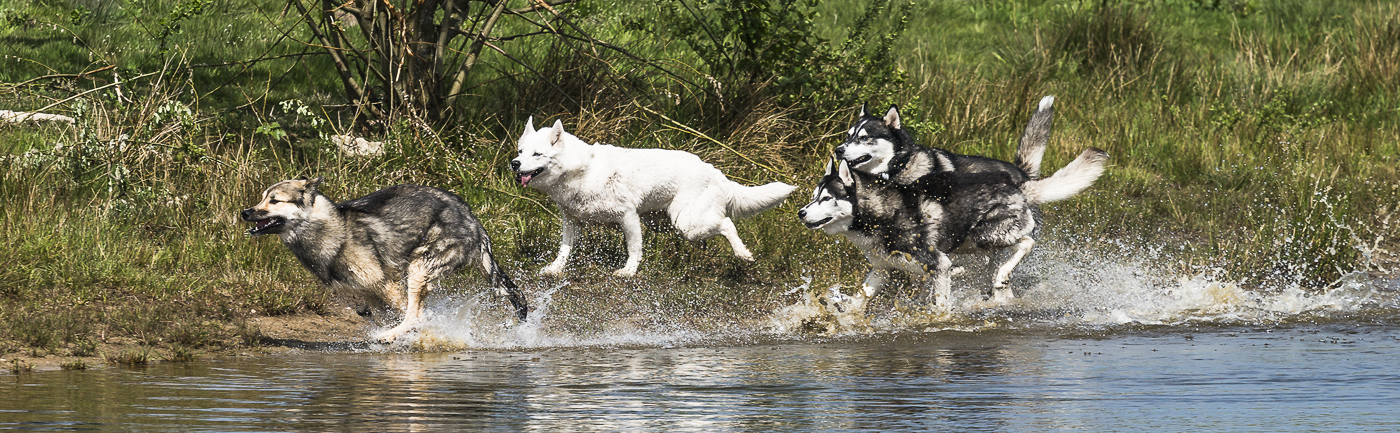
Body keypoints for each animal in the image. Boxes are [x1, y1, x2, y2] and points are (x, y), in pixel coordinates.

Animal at [238, 177, 526, 340]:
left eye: (274, 201)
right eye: (262, 198)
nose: (244, 212)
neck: (333, 229)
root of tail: (473, 221)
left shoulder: (386, 286)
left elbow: (420, 316)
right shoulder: (370, 294)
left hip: (418, 268)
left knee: (414, 317)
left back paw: (387, 338)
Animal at [512, 116, 800, 274]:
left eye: (537, 154)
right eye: (520, 151)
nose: (514, 164)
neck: (582, 170)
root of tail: (714, 171)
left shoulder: (628, 217)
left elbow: (634, 249)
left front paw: (628, 272)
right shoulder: (572, 221)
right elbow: (564, 250)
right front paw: (554, 269)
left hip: (685, 223)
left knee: (727, 224)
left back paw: (743, 254)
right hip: (665, 223)